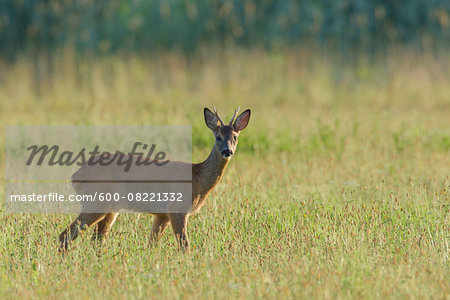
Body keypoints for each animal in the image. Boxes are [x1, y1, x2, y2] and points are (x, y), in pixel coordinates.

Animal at [58, 107, 251, 253]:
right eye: (218, 137)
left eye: (235, 137)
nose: (227, 151)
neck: (197, 179)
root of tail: (75, 176)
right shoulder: (177, 209)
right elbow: (185, 246)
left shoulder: (162, 215)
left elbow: (151, 244)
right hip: (97, 201)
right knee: (65, 234)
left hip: (111, 208)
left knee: (97, 239)